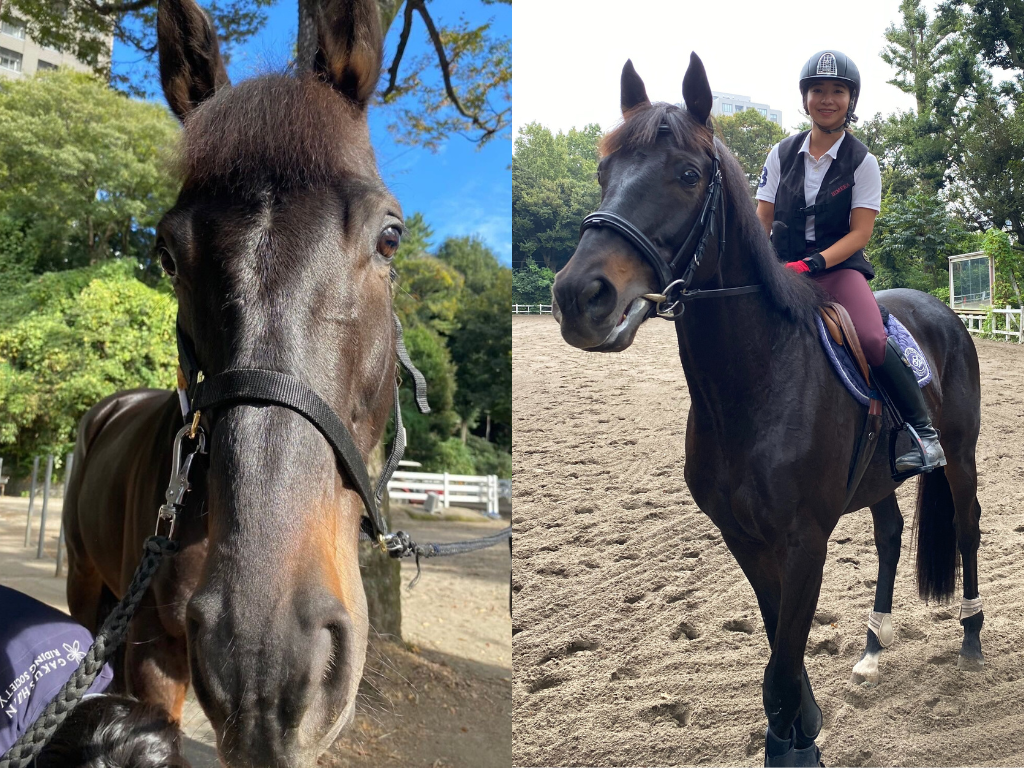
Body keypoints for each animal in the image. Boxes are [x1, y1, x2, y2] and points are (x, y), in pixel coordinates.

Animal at [551, 53, 983, 766]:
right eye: (603, 172)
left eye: (688, 175)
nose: (578, 297)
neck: (753, 388)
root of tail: (941, 312)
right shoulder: (743, 536)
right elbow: (779, 648)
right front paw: (801, 727)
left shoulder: (805, 537)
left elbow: (782, 663)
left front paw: (794, 743)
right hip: (877, 480)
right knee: (891, 536)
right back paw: (872, 648)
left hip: (961, 454)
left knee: (969, 527)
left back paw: (973, 637)